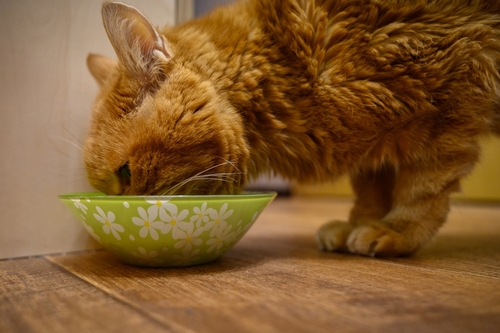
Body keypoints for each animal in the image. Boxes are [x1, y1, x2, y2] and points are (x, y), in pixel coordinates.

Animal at [86, 0, 500, 256]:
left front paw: (396, 230)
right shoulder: (375, 144)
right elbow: (372, 189)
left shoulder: (447, 107)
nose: (119, 206)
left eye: (126, 173)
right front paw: (361, 223)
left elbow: (420, 191)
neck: (284, 63)